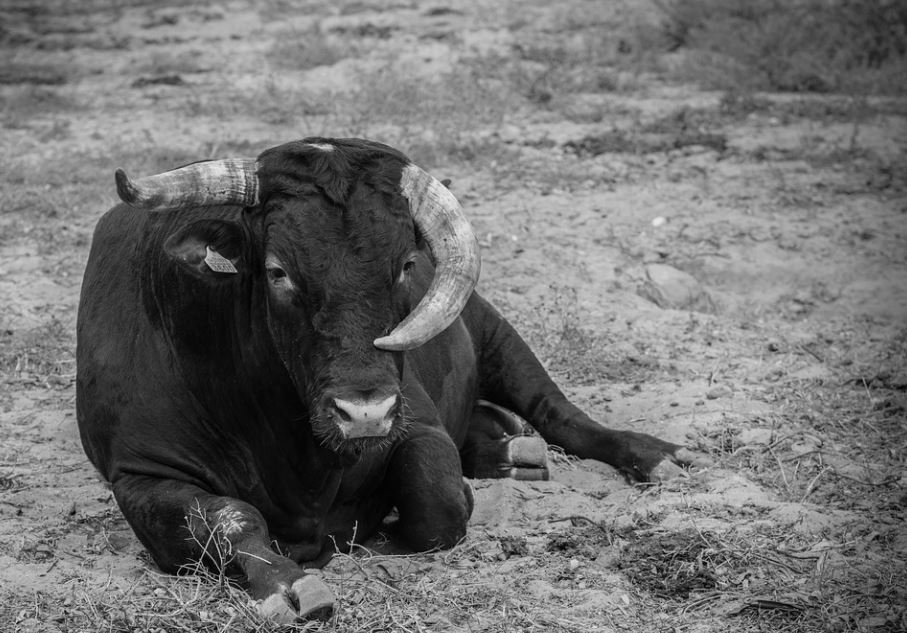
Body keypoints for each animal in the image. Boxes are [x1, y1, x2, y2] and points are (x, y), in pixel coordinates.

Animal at [76, 138, 704, 622]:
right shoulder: (140, 475)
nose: (364, 413)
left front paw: (381, 534)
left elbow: (436, 493)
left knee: (558, 413)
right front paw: (289, 586)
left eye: (405, 264)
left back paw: (651, 455)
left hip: (496, 333)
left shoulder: (416, 421)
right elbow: (230, 518)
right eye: (277, 271)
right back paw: (509, 450)